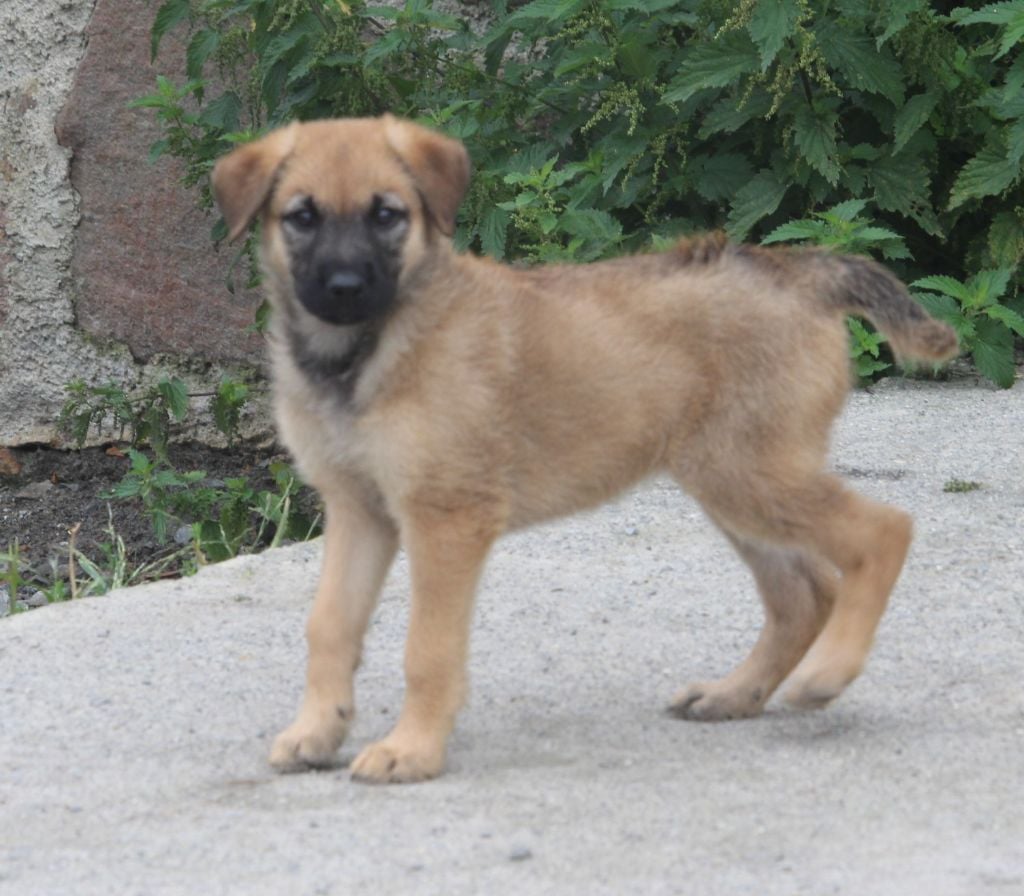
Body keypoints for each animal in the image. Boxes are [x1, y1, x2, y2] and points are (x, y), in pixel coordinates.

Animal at [209, 115, 958, 782]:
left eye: (387, 214)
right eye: (301, 216)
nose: (343, 288)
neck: (365, 354)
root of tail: (794, 272)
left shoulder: (446, 516)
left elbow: (428, 648)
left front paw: (412, 750)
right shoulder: (358, 509)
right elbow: (329, 625)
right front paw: (317, 732)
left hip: (750, 474)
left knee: (883, 532)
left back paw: (828, 673)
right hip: (733, 483)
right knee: (802, 595)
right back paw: (735, 694)